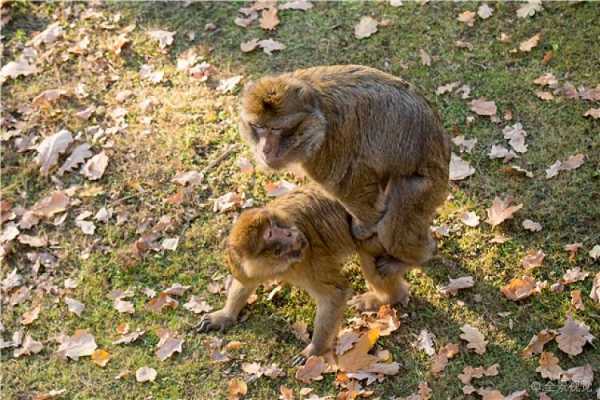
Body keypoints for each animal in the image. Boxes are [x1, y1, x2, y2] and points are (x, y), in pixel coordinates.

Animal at [197, 186, 408, 360]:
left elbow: (335, 293)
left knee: (369, 254)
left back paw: (389, 297)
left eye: (275, 226)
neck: (279, 265)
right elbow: (245, 283)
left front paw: (315, 349)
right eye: (270, 235)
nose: (290, 234)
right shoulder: (242, 264)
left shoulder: (306, 259)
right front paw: (225, 316)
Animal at [238, 65, 450, 294]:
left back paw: (417, 257)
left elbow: (350, 184)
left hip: (426, 189)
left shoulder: (330, 144)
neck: (318, 114)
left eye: (275, 129)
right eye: (258, 127)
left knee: (399, 207)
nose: (265, 149)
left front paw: (364, 227)